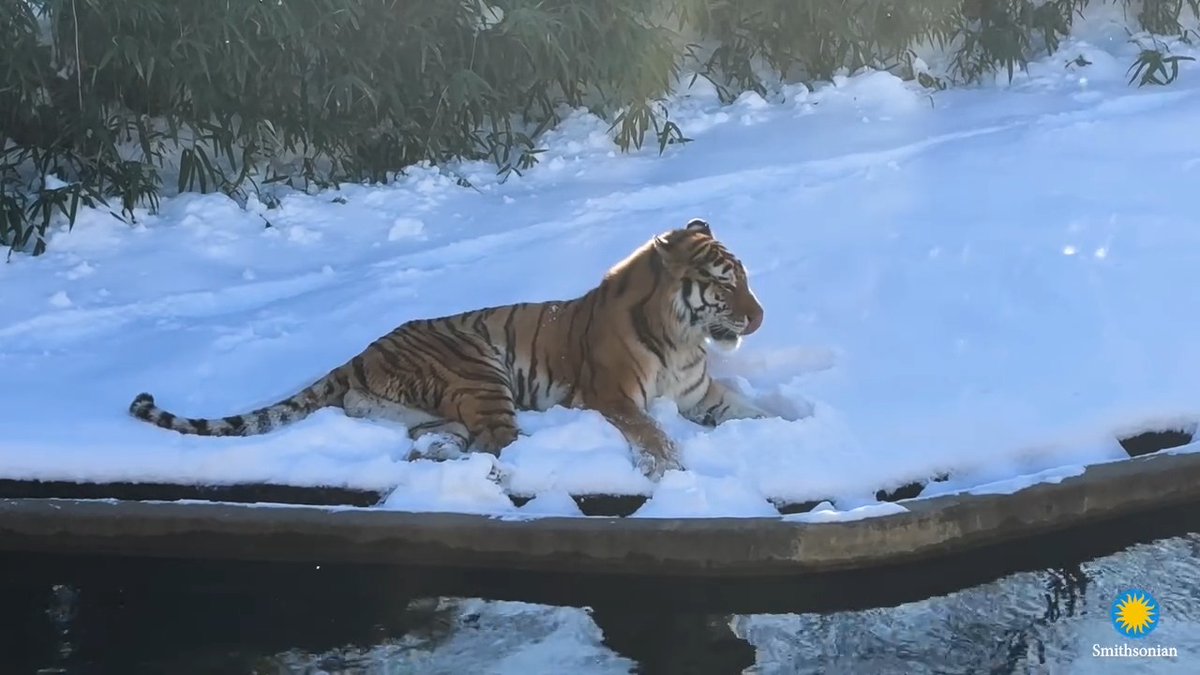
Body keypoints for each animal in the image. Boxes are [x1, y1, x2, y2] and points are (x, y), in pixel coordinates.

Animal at [128, 217, 772, 479]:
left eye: (745, 277)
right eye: (725, 284)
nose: (761, 317)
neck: (684, 340)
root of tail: (362, 353)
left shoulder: (701, 396)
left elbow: (758, 412)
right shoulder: (611, 396)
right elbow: (653, 431)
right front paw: (671, 467)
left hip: (426, 405)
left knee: (437, 435)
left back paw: (432, 454)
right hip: (481, 370)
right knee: (501, 443)